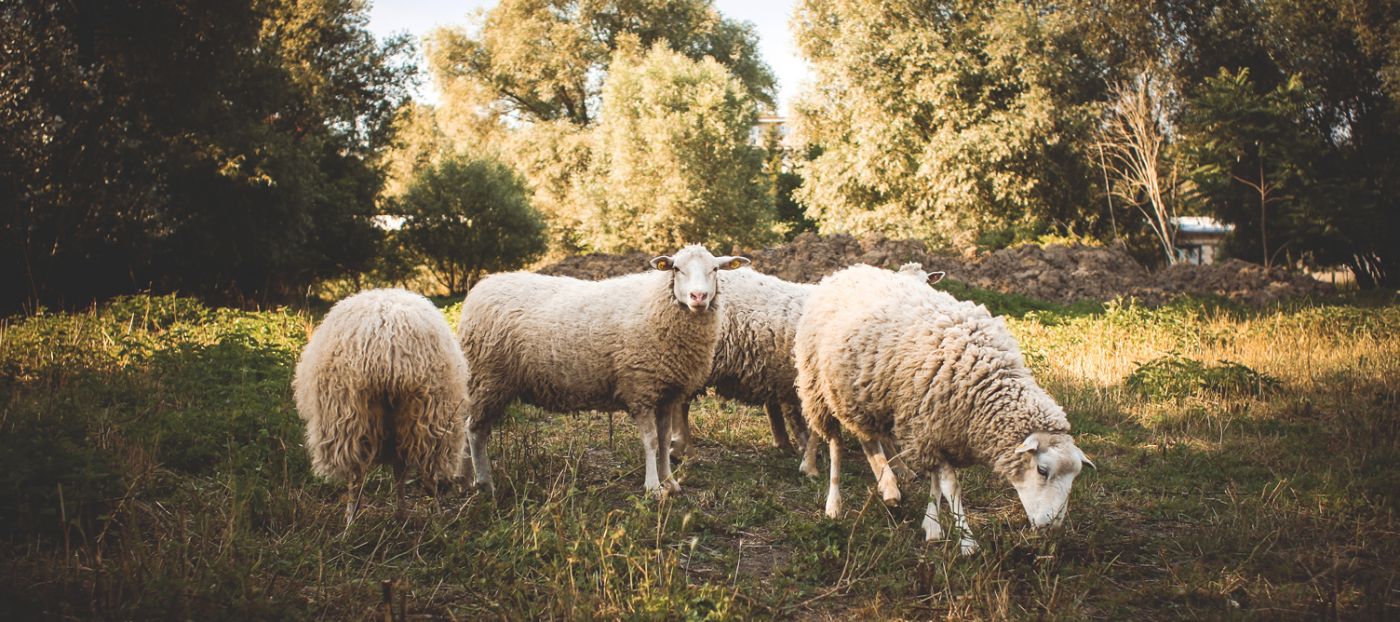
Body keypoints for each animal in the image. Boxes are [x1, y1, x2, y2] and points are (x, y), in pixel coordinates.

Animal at [292, 288, 471, 527]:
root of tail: (387, 343)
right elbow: (400, 471)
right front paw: (401, 514)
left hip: (352, 415)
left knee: (357, 475)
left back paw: (352, 522)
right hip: (425, 413)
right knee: (426, 471)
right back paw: (434, 517)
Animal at [456, 245, 749, 496]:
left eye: (715, 269)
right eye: (676, 269)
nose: (698, 297)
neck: (658, 305)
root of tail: (482, 287)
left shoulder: (667, 393)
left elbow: (665, 441)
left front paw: (670, 482)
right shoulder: (640, 388)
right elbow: (651, 442)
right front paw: (653, 487)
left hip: (486, 382)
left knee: (469, 430)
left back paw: (466, 480)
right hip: (488, 378)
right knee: (475, 431)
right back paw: (484, 482)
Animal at [795, 264, 1093, 554]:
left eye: (1075, 477)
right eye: (1042, 470)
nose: (1051, 527)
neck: (985, 381)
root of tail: (843, 272)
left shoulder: (935, 429)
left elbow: (936, 483)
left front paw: (932, 526)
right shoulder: (926, 426)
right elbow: (952, 487)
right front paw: (967, 542)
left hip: (862, 396)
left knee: (868, 440)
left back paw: (888, 486)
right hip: (819, 387)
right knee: (836, 444)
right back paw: (835, 503)